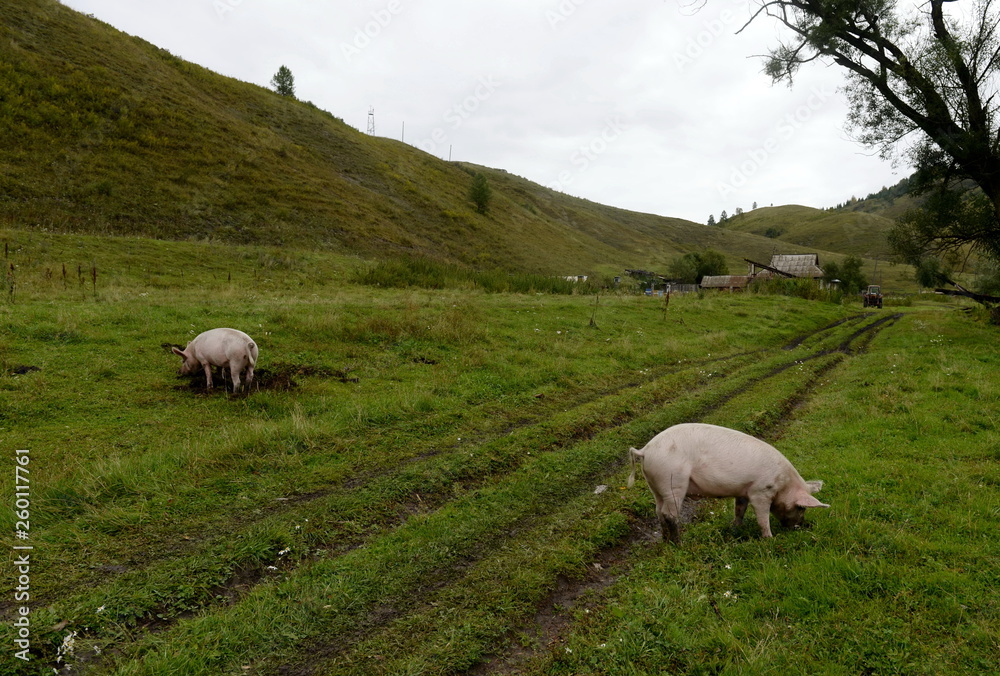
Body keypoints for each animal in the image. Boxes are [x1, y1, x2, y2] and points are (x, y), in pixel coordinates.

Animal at [624, 422, 828, 544]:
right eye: (801, 508)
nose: (799, 526)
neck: (784, 484)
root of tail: (645, 450)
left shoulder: (744, 491)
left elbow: (739, 510)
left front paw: (735, 528)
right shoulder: (760, 492)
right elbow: (763, 518)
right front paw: (769, 539)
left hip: (655, 485)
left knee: (658, 511)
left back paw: (667, 542)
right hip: (672, 481)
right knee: (669, 514)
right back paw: (679, 543)